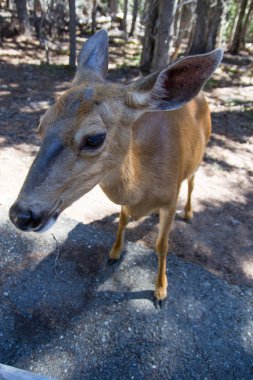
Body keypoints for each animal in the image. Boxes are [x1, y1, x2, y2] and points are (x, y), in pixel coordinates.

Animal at [9, 30, 222, 308]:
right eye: (40, 125)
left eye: (94, 138)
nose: (20, 215)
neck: (146, 185)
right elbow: (121, 221)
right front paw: (114, 253)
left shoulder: (169, 199)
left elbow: (162, 245)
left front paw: (160, 292)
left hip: (199, 158)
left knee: (193, 183)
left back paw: (188, 213)